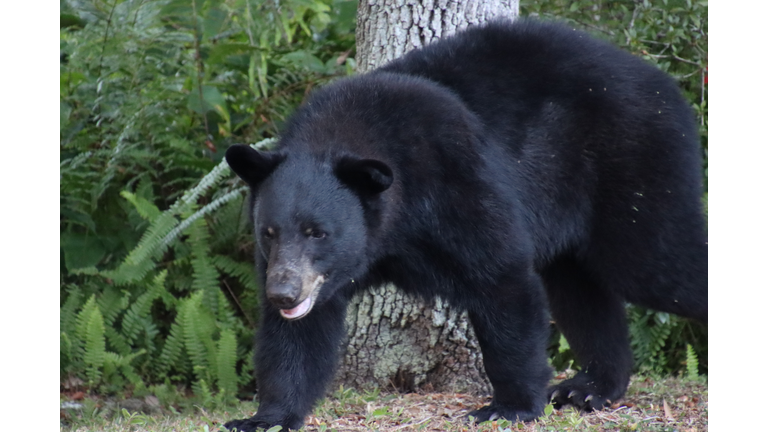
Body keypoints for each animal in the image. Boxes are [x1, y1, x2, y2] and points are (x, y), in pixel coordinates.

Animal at [222, 18, 708, 430]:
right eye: (269, 232)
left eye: (318, 232)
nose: (283, 293)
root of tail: (664, 83)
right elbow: (297, 336)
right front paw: (264, 417)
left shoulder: (457, 177)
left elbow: (501, 277)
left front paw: (508, 406)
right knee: (580, 292)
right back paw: (587, 388)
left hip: (631, 166)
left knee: (659, 262)